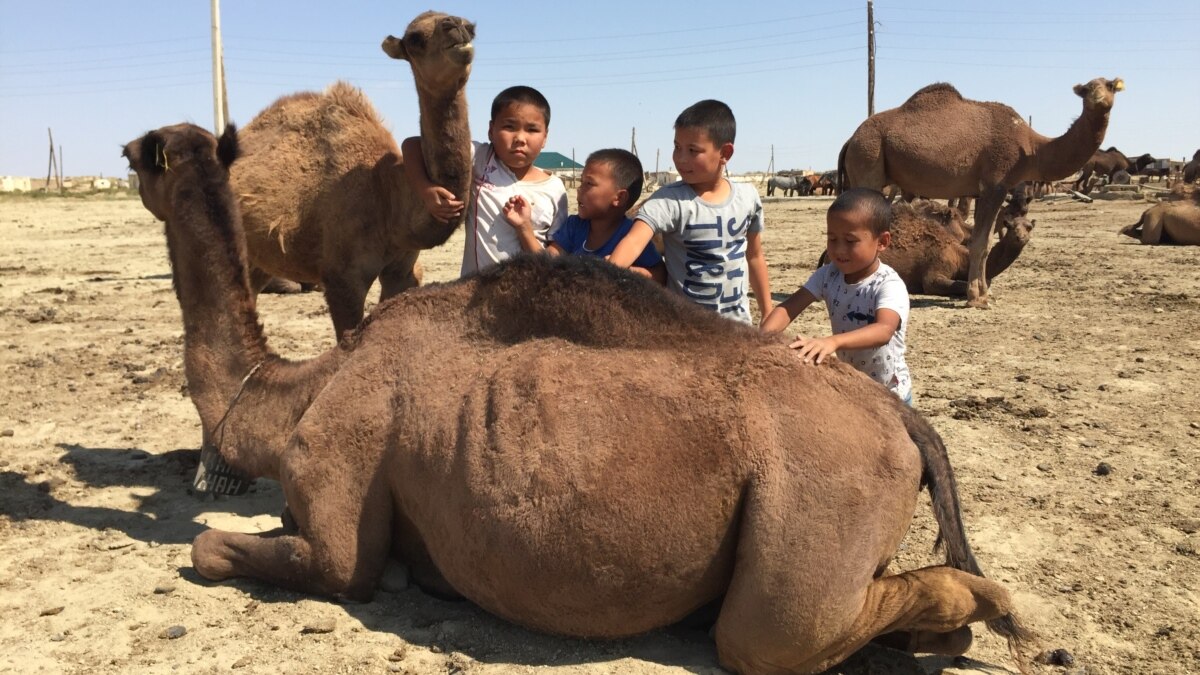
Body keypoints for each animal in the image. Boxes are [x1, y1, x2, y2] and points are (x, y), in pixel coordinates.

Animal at [231, 10, 475, 336]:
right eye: (415, 39)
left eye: (472, 27)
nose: (457, 27)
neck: (387, 194)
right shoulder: (342, 277)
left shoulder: (402, 269)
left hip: (258, 256)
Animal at [840, 78, 1118, 307]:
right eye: (1087, 89)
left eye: (1111, 86)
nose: (1099, 99)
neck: (1030, 148)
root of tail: (851, 139)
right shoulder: (993, 185)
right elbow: (980, 243)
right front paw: (976, 298)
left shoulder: (993, 190)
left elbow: (986, 241)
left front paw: (986, 292)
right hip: (869, 159)